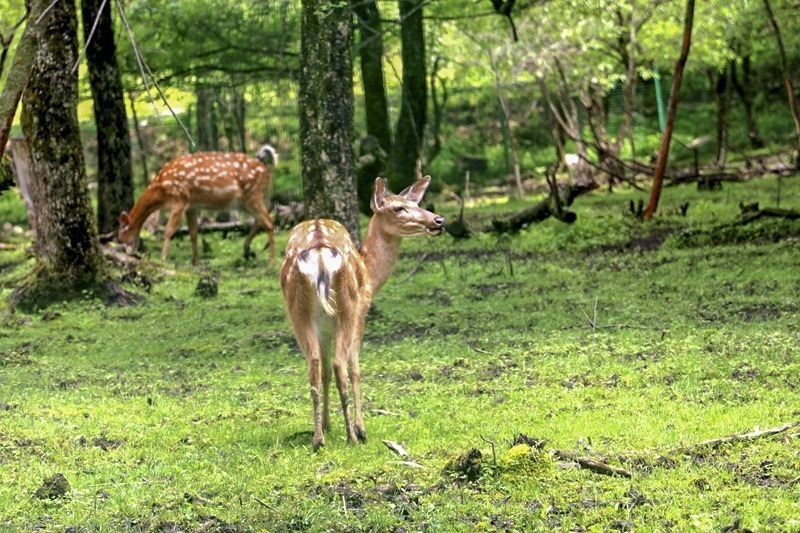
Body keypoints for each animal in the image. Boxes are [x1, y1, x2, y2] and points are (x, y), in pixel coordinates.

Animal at [117, 143, 280, 266]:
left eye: (122, 234)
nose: (129, 253)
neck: (161, 189)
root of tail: (265, 168)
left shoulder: (180, 197)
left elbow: (169, 230)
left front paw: (162, 259)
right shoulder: (191, 206)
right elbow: (193, 233)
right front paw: (196, 262)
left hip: (252, 193)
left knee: (269, 221)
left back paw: (271, 262)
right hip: (243, 201)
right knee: (260, 219)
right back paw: (246, 249)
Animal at [280, 175, 444, 448]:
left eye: (415, 202)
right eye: (398, 207)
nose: (439, 220)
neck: (370, 274)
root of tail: (319, 252)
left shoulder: (323, 325)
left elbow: (324, 371)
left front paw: (327, 424)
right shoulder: (361, 310)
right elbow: (355, 368)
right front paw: (360, 427)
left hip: (297, 309)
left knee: (314, 366)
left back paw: (318, 439)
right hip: (347, 304)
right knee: (340, 365)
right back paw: (353, 436)